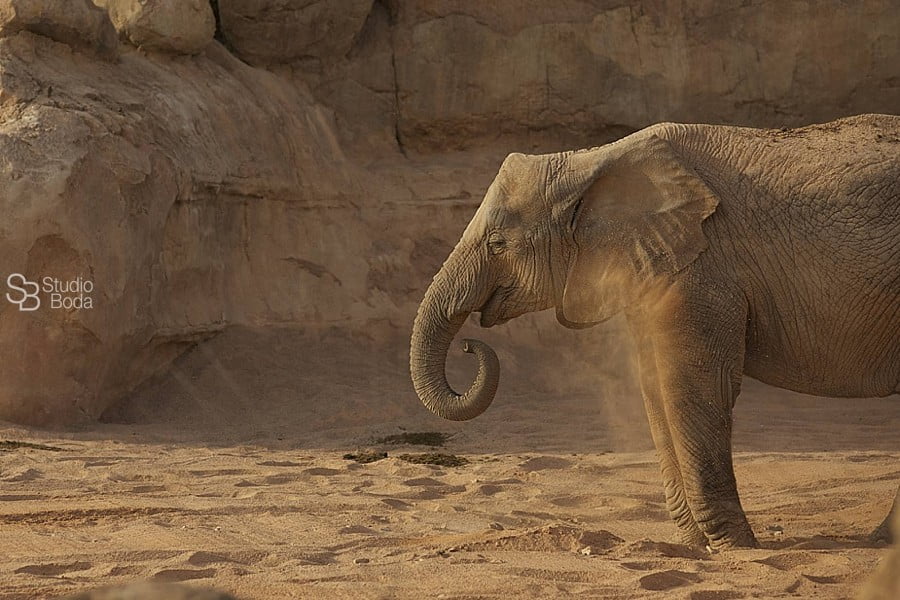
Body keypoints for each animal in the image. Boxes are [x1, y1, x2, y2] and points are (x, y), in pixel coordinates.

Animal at [409, 113, 900, 549]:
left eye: (498, 245)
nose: (469, 345)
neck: (593, 161)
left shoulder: (702, 267)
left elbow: (697, 387)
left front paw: (736, 546)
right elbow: (655, 389)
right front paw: (696, 544)